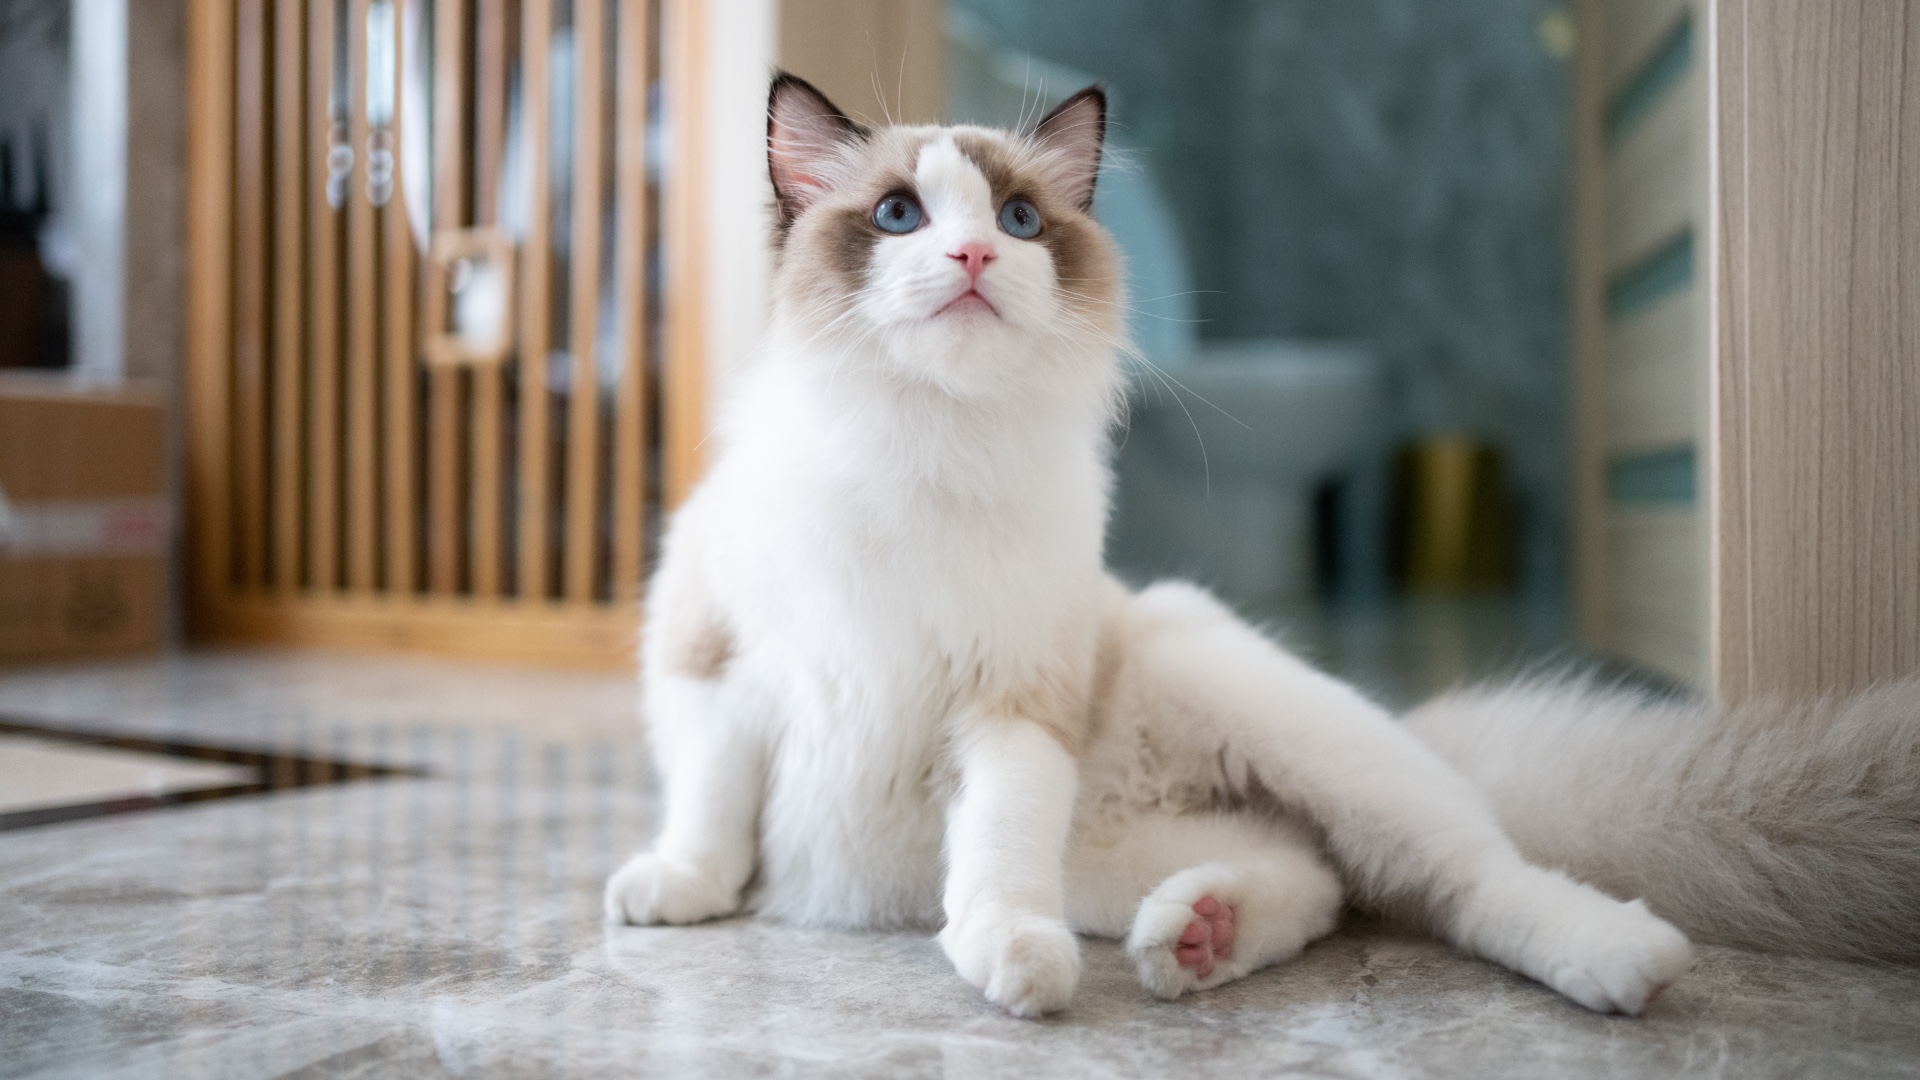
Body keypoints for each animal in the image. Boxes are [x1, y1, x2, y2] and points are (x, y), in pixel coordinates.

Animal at [602, 73, 1697, 1006]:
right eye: (898, 217)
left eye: (1018, 222)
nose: (973, 257)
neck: (927, 446)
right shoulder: (718, 671)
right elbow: (709, 810)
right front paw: (678, 889)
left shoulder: (1013, 707)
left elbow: (997, 856)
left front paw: (1012, 960)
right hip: (1122, 857)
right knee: (1315, 876)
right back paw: (1196, 937)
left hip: (1299, 739)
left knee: (1459, 875)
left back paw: (1625, 961)